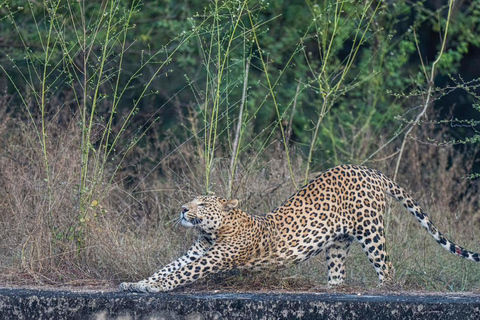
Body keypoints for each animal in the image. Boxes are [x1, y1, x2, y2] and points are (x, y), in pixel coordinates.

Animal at [120, 165, 480, 292]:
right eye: (191, 201)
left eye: (203, 204)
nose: (183, 209)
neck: (212, 232)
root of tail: (369, 170)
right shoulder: (196, 252)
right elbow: (168, 267)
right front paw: (136, 283)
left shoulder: (213, 257)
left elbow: (179, 274)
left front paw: (153, 288)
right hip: (338, 242)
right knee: (338, 272)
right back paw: (330, 289)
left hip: (370, 230)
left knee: (387, 266)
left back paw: (385, 289)